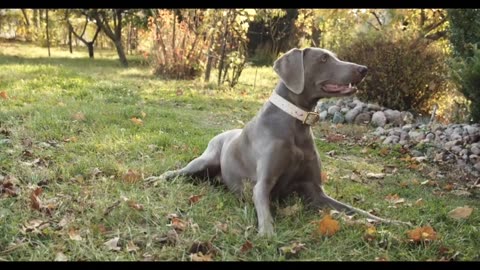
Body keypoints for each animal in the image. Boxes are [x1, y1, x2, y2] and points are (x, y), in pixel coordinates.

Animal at [149, 47, 408, 235]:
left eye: (333, 55)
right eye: (323, 58)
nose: (363, 69)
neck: (296, 124)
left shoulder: (316, 192)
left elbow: (355, 210)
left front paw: (391, 222)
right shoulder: (262, 185)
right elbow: (264, 211)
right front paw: (268, 235)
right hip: (203, 161)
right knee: (176, 172)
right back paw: (155, 179)